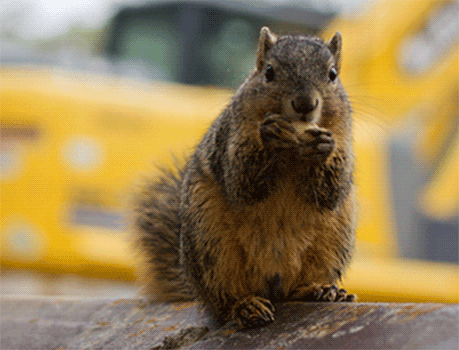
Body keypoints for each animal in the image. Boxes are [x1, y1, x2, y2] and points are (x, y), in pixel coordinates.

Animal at [135, 27, 358, 328]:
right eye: (269, 73)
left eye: (332, 74)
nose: (304, 104)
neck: (293, 154)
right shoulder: (230, 138)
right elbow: (240, 181)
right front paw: (271, 137)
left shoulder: (343, 136)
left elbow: (331, 191)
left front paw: (322, 147)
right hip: (212, 244)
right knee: (223, 299)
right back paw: (245, 306)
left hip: (332, 241)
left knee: (295, 289)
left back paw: (319, 290)